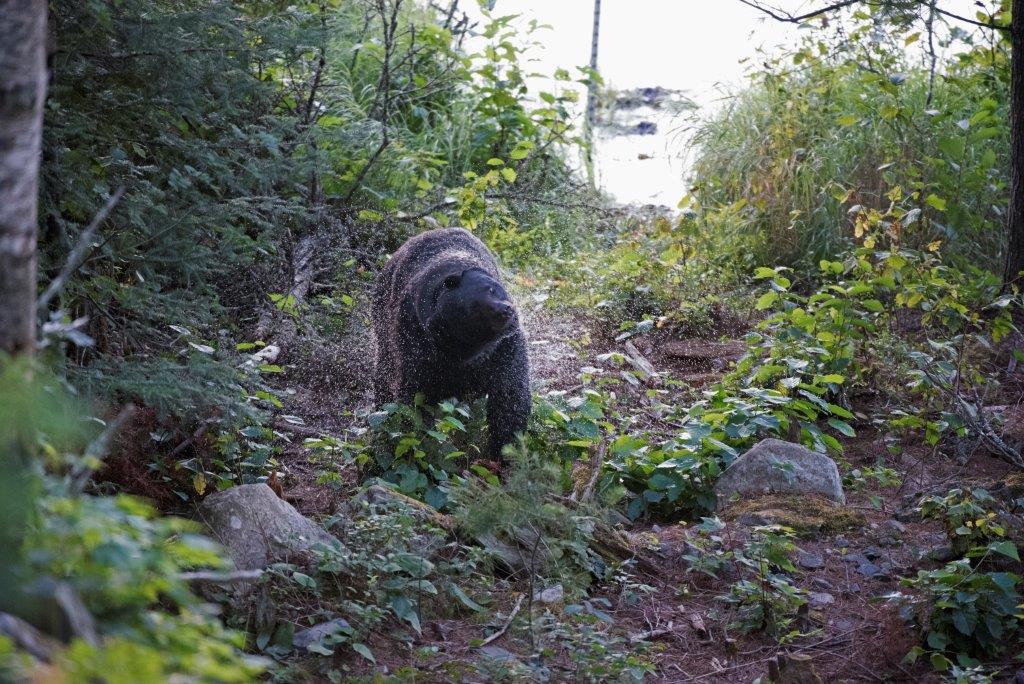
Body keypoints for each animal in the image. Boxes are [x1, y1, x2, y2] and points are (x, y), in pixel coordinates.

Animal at [371, 228, 530, 462]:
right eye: (475, 308)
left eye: (493, 289)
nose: (506, 309)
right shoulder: (418, 344)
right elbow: (415, 401)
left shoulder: (503, 349)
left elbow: (510, 397)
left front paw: (506, 451)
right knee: (384, 374)